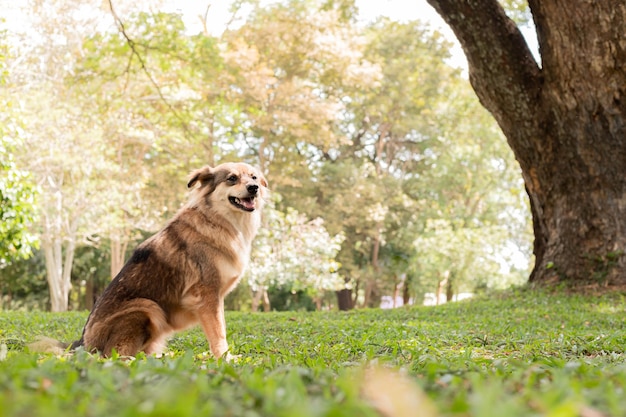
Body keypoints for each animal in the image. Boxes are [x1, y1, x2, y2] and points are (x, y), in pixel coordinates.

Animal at [70, 162, 266, 358]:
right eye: (232, 178)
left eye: (254, 177)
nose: (254, 188)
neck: (216, 219)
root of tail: (83, 344)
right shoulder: (207, 294)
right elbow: (218, 333)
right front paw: (224, 358)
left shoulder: (216, 297)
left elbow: (222, 327)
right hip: (148, 307)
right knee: (115, 355)